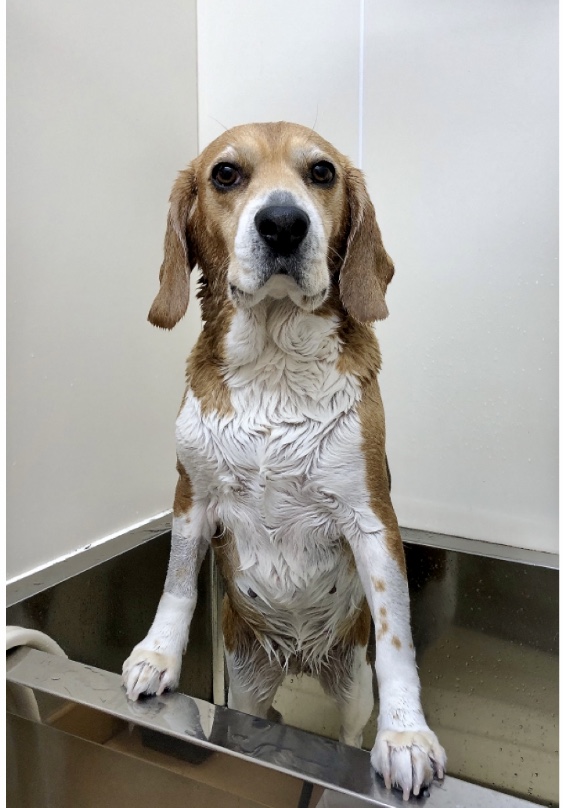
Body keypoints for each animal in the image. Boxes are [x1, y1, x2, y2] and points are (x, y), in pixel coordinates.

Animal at [122, 122, 446, 799]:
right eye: (225, 174)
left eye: (321, 172)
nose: (282, 223)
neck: (273, 358)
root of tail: (298, 657)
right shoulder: (191, 497)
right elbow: (176, 584)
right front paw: (157, 657)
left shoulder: (373, 520)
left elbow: (397, 633)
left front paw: (407, 736)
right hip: (248, 682)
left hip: (350, 688)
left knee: (350, 721)